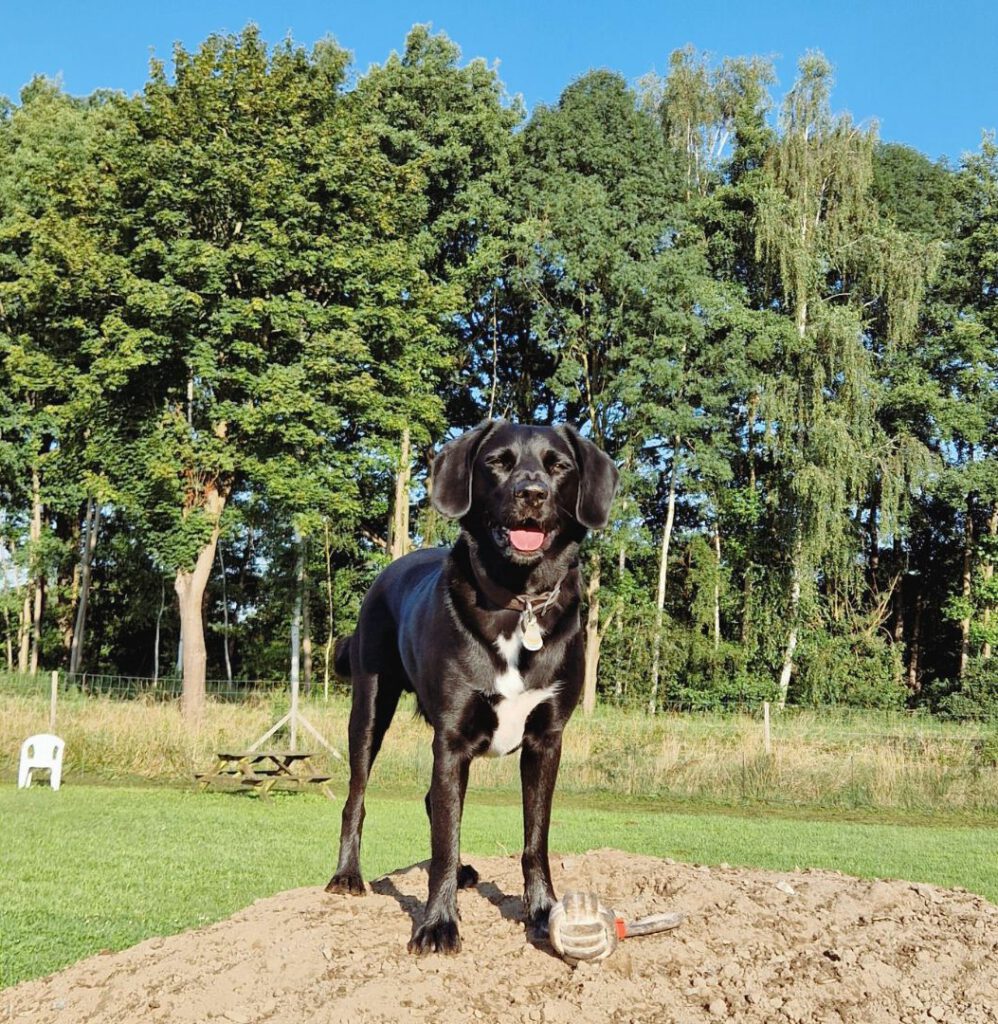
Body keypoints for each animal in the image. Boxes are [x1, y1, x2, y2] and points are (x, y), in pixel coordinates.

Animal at [325, 415, 618, 950]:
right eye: (498, 462)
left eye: (559, 466)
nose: (531, 493)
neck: (520, 601)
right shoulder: (452, 739)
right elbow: (444, 837)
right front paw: (438, 923)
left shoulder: (546, 740)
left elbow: (534, 837)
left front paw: (541, 910)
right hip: (369, 706)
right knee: (357, 796)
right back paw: (347, 876)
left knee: (432, 803)